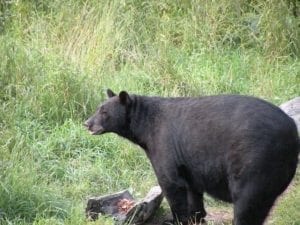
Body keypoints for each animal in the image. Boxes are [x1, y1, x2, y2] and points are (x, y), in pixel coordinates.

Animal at [84, 90, 298, 225]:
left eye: (104, 112)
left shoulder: (164, 144)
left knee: (247, 203)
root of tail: (292, 131)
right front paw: (197, 217)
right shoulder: (189, 162)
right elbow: (192, 189)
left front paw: (174, 220)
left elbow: (171, 184)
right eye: (98, 108)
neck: (145, 126)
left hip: (255, 161)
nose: (87, 123)